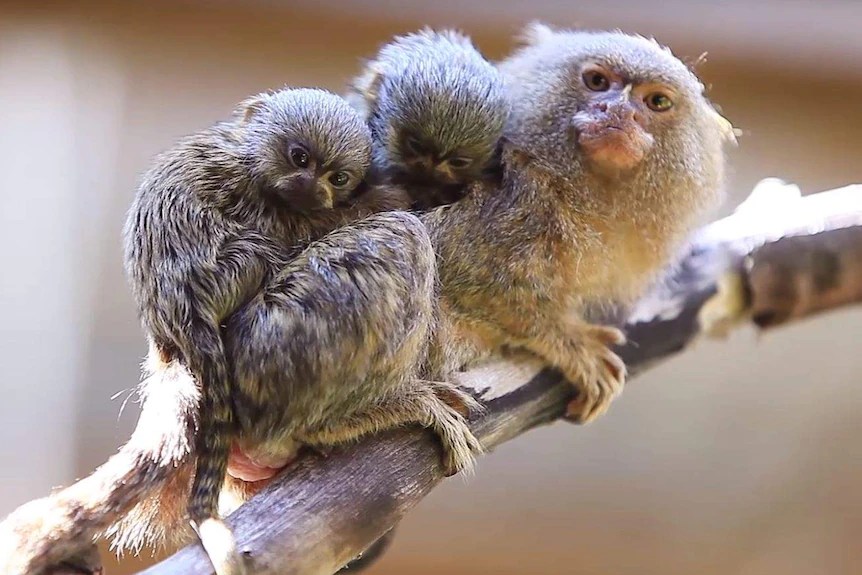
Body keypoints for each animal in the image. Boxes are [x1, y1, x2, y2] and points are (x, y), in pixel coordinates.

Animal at [0, 87, 481, 575]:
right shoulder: (258, 201)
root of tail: (174, 327)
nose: (311, 186)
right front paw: (396, 194)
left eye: (338, 176)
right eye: (299, 157)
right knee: (398, 236)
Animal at [419, 23, 737, 423]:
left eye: (657, 102)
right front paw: (569, 342)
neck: (568, 189)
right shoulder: (509, 203)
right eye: (597, 81)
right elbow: (471, 277)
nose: (617, 111)